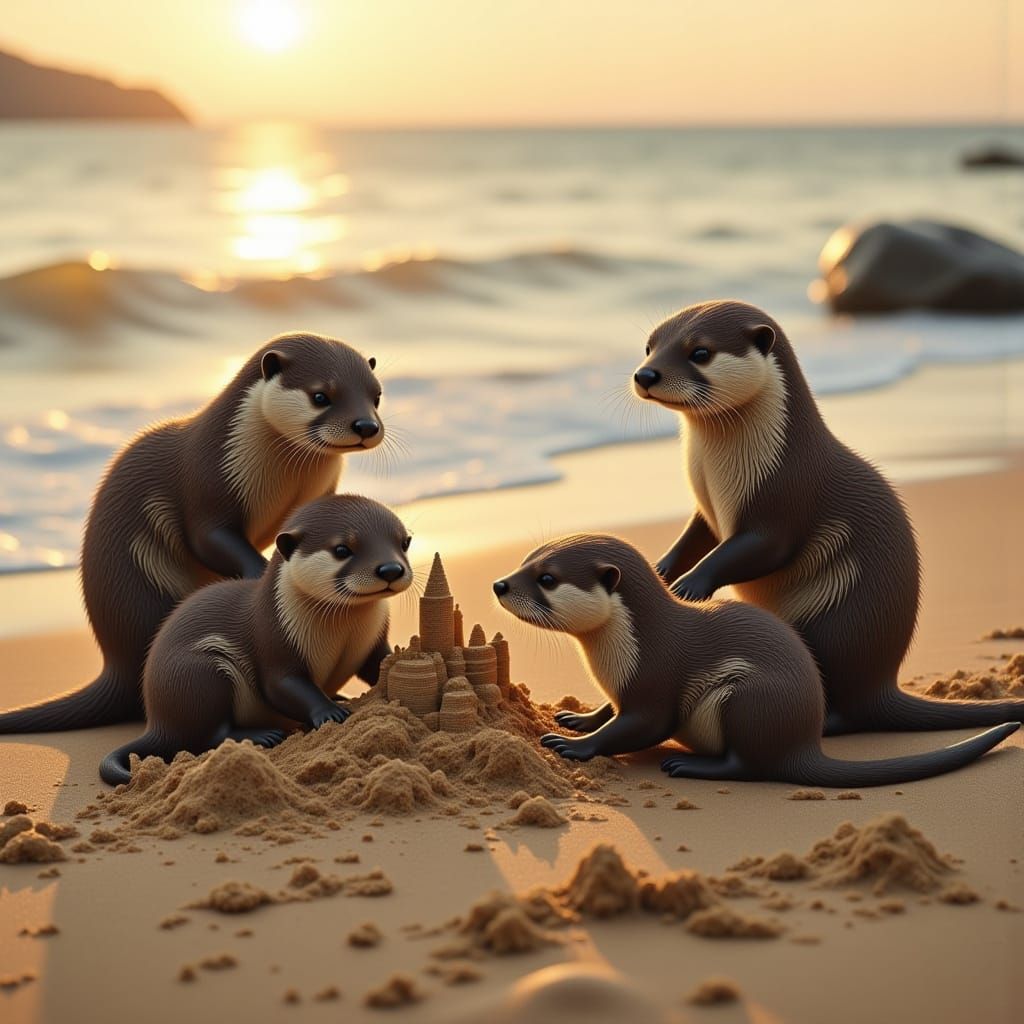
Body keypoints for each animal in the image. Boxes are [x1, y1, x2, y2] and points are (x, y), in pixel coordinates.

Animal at [0, 333, 385, 734]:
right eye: (321, 396)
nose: (366, 426)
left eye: (376, 396)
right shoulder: (208, 475)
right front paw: (259, 572)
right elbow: (208, 538)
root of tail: (115, 660)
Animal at [99, 494, 412, 785]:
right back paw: (264, 735)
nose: (390, 569)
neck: (345, 634)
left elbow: (378, 663)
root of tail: (157, 720)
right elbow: (280, 685)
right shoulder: (274, 638)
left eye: (405, 542)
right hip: (200, 673)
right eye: (342, 549)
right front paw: (329, 712)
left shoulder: (373, 641)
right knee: (209, 735)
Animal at [493, 534, 1017, 784]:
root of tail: (803, 741)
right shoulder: (623, 687)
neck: (619, 650)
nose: (498, 583)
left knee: (748, 764)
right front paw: (578, 719)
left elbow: (641, 725)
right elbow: (609, 711)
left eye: (547, 578)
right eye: (526, 559)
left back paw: (692, 767)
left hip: (745, 697)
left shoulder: (655, 676)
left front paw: (573, 745)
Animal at [632, 299, 1024, 734]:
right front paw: (662, 569)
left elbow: (758, 549)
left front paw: (689, 586)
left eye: (700, 352)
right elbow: (695, 538)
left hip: (833, 630)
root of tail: (880, 685)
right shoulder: (707, 510)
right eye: (649, 347)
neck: (723, 475)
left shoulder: (787, 494)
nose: (645, 374)